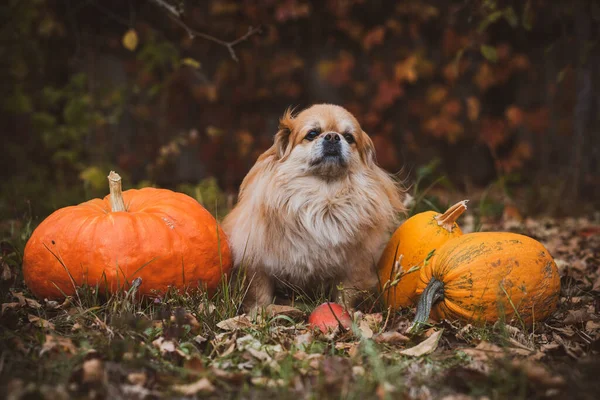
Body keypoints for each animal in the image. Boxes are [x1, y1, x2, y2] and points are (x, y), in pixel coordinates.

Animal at [223, 104, 406, 310]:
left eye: (349, 137)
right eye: (312, 134)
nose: (333, 136)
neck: (324, 198)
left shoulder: (352, 269)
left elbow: (345, 295)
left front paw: (346, 312)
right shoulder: (259, 264)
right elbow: (260, 294)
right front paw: (260, 311)